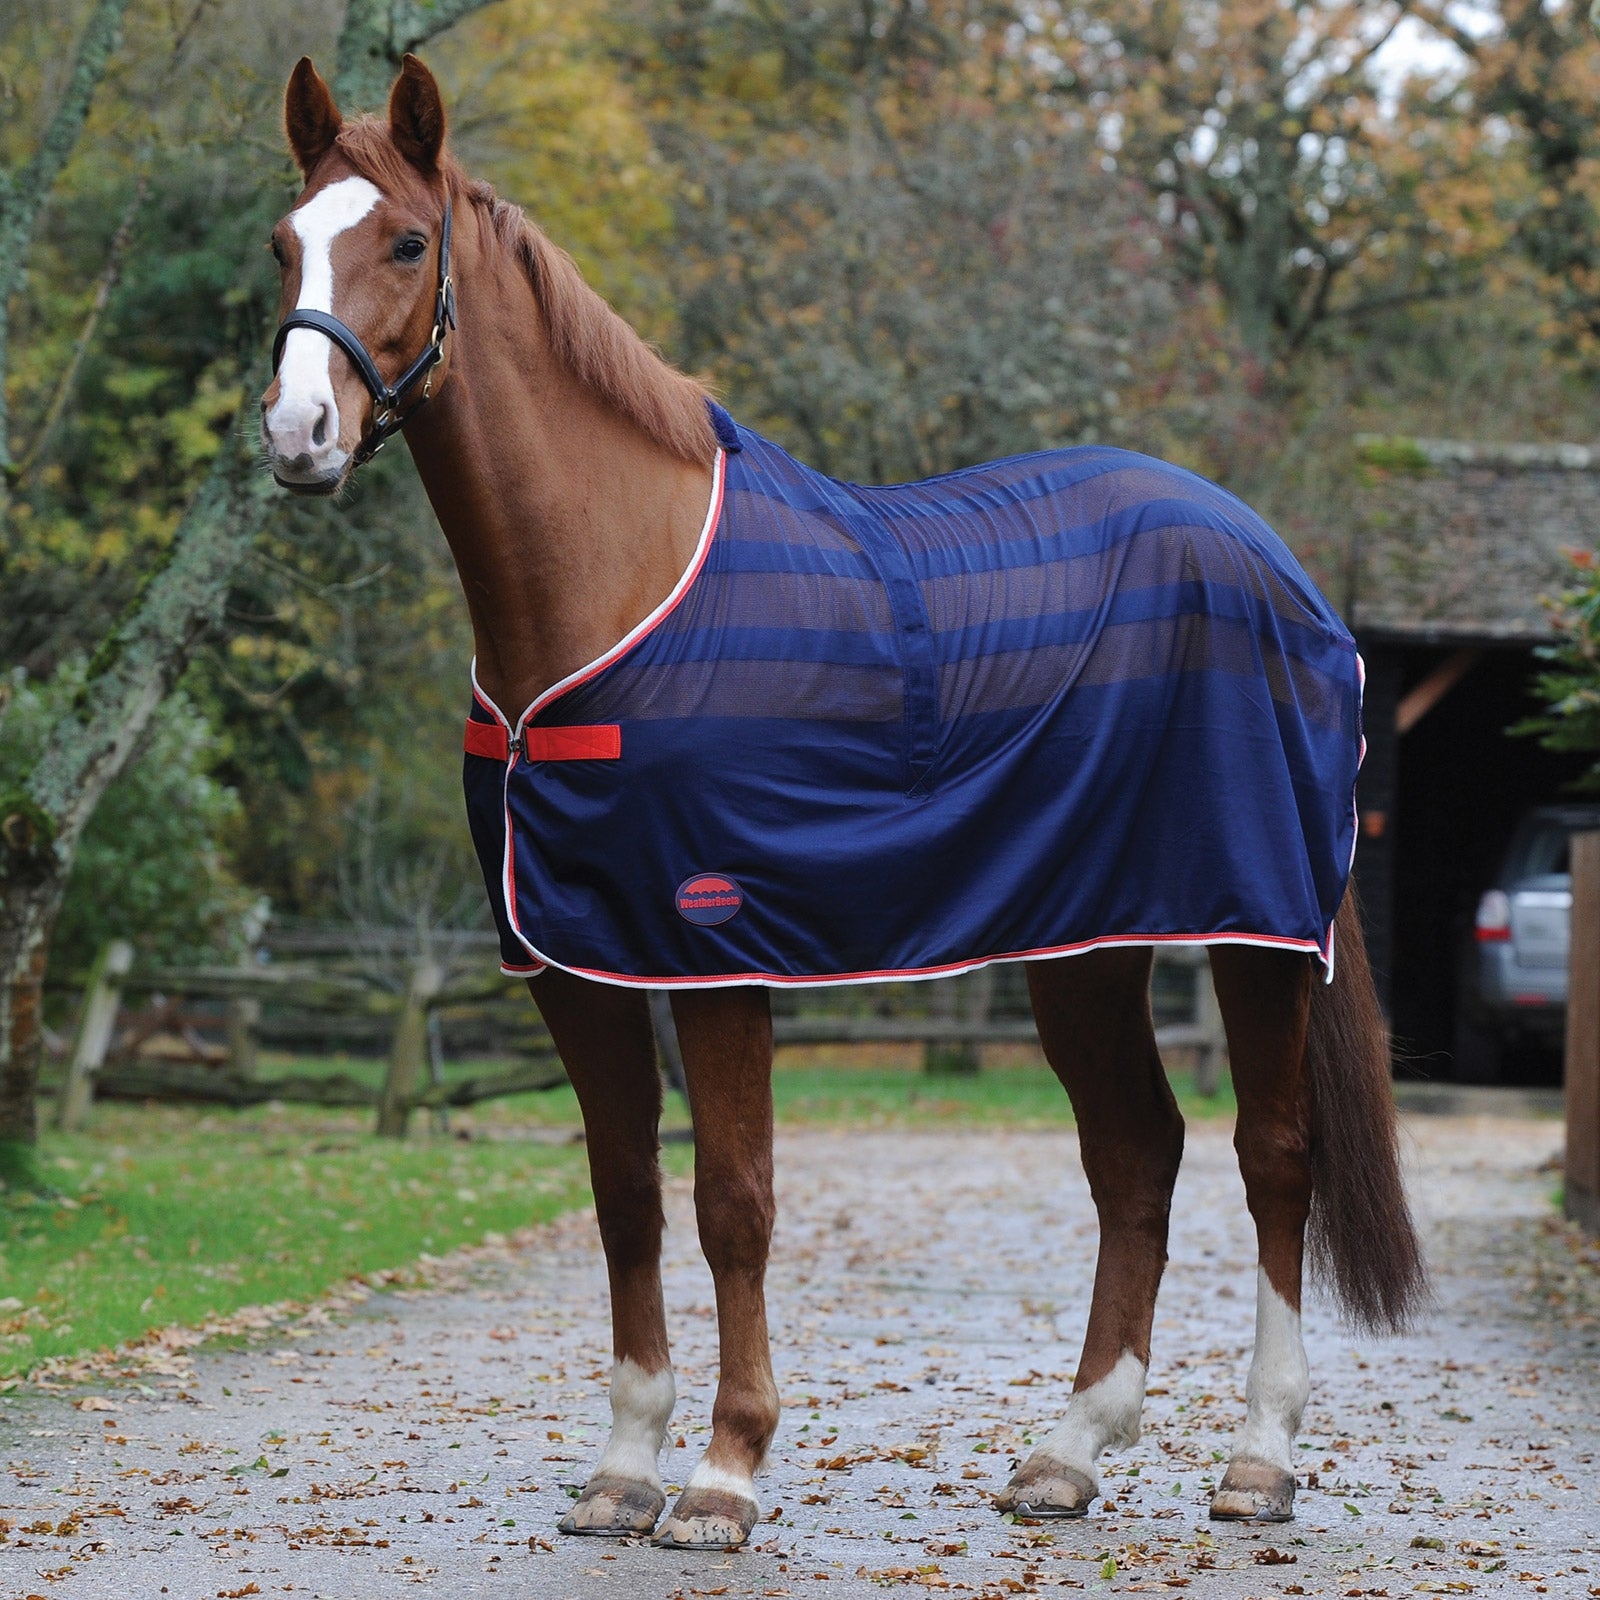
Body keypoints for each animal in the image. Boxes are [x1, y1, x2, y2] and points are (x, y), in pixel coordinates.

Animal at [258, 55, 1427, 1550]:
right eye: (284, 244)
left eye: (406, 243)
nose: (299, 436)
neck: (608, 579)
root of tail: (1281, 571)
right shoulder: (573, 961)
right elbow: (625, 1195)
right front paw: (623, 1468)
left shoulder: (711, 948)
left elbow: (732, 1201)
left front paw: (722, 1475)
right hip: (1084, 944)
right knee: (1136, 1156)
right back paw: (1069, 1453)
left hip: (1254, 932)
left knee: (1274, 1157)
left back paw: (1261, 1459)